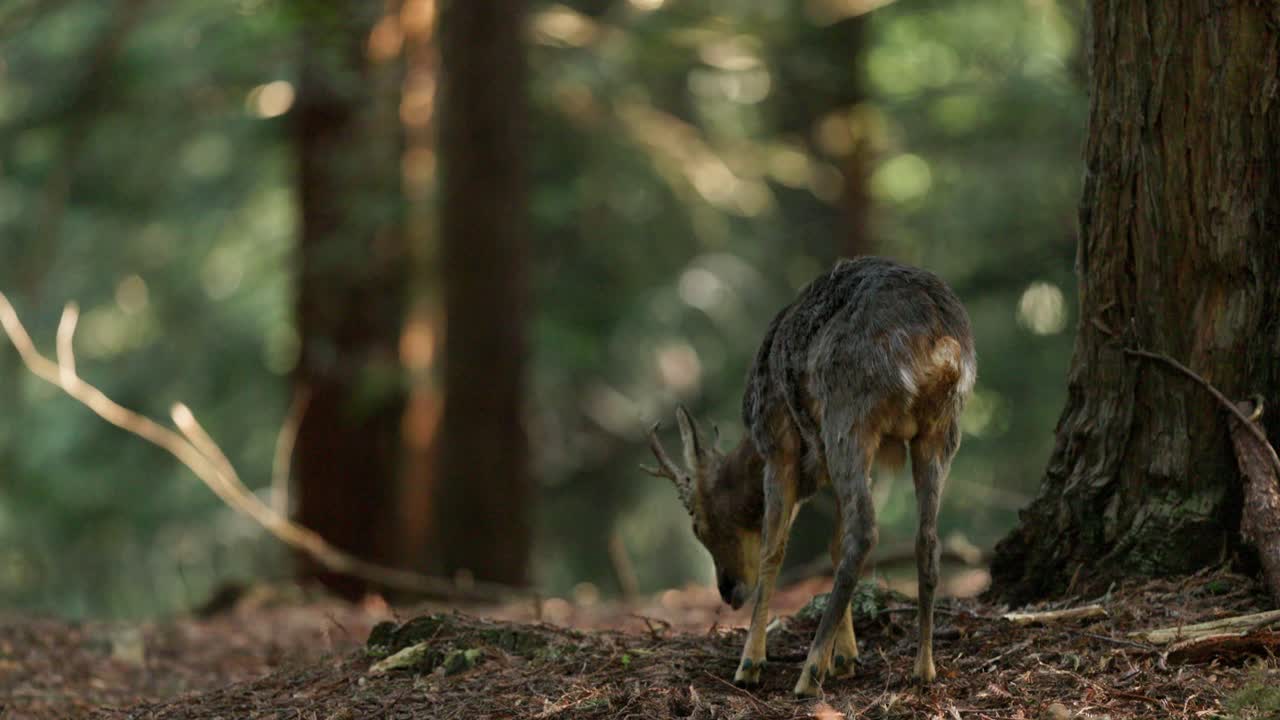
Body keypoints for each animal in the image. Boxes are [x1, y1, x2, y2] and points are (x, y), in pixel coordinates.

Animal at [643, 256, 975, 697]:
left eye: (697, 525)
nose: (728, 591)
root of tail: (940, 344)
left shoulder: (779, 445)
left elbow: (774, 548)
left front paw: (752, 663)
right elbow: (831, 546)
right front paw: (846, 658)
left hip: (849, 413)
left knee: (864, 532)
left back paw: (808, 673)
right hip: (940, 430)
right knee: (926, 538)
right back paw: (923, 666)